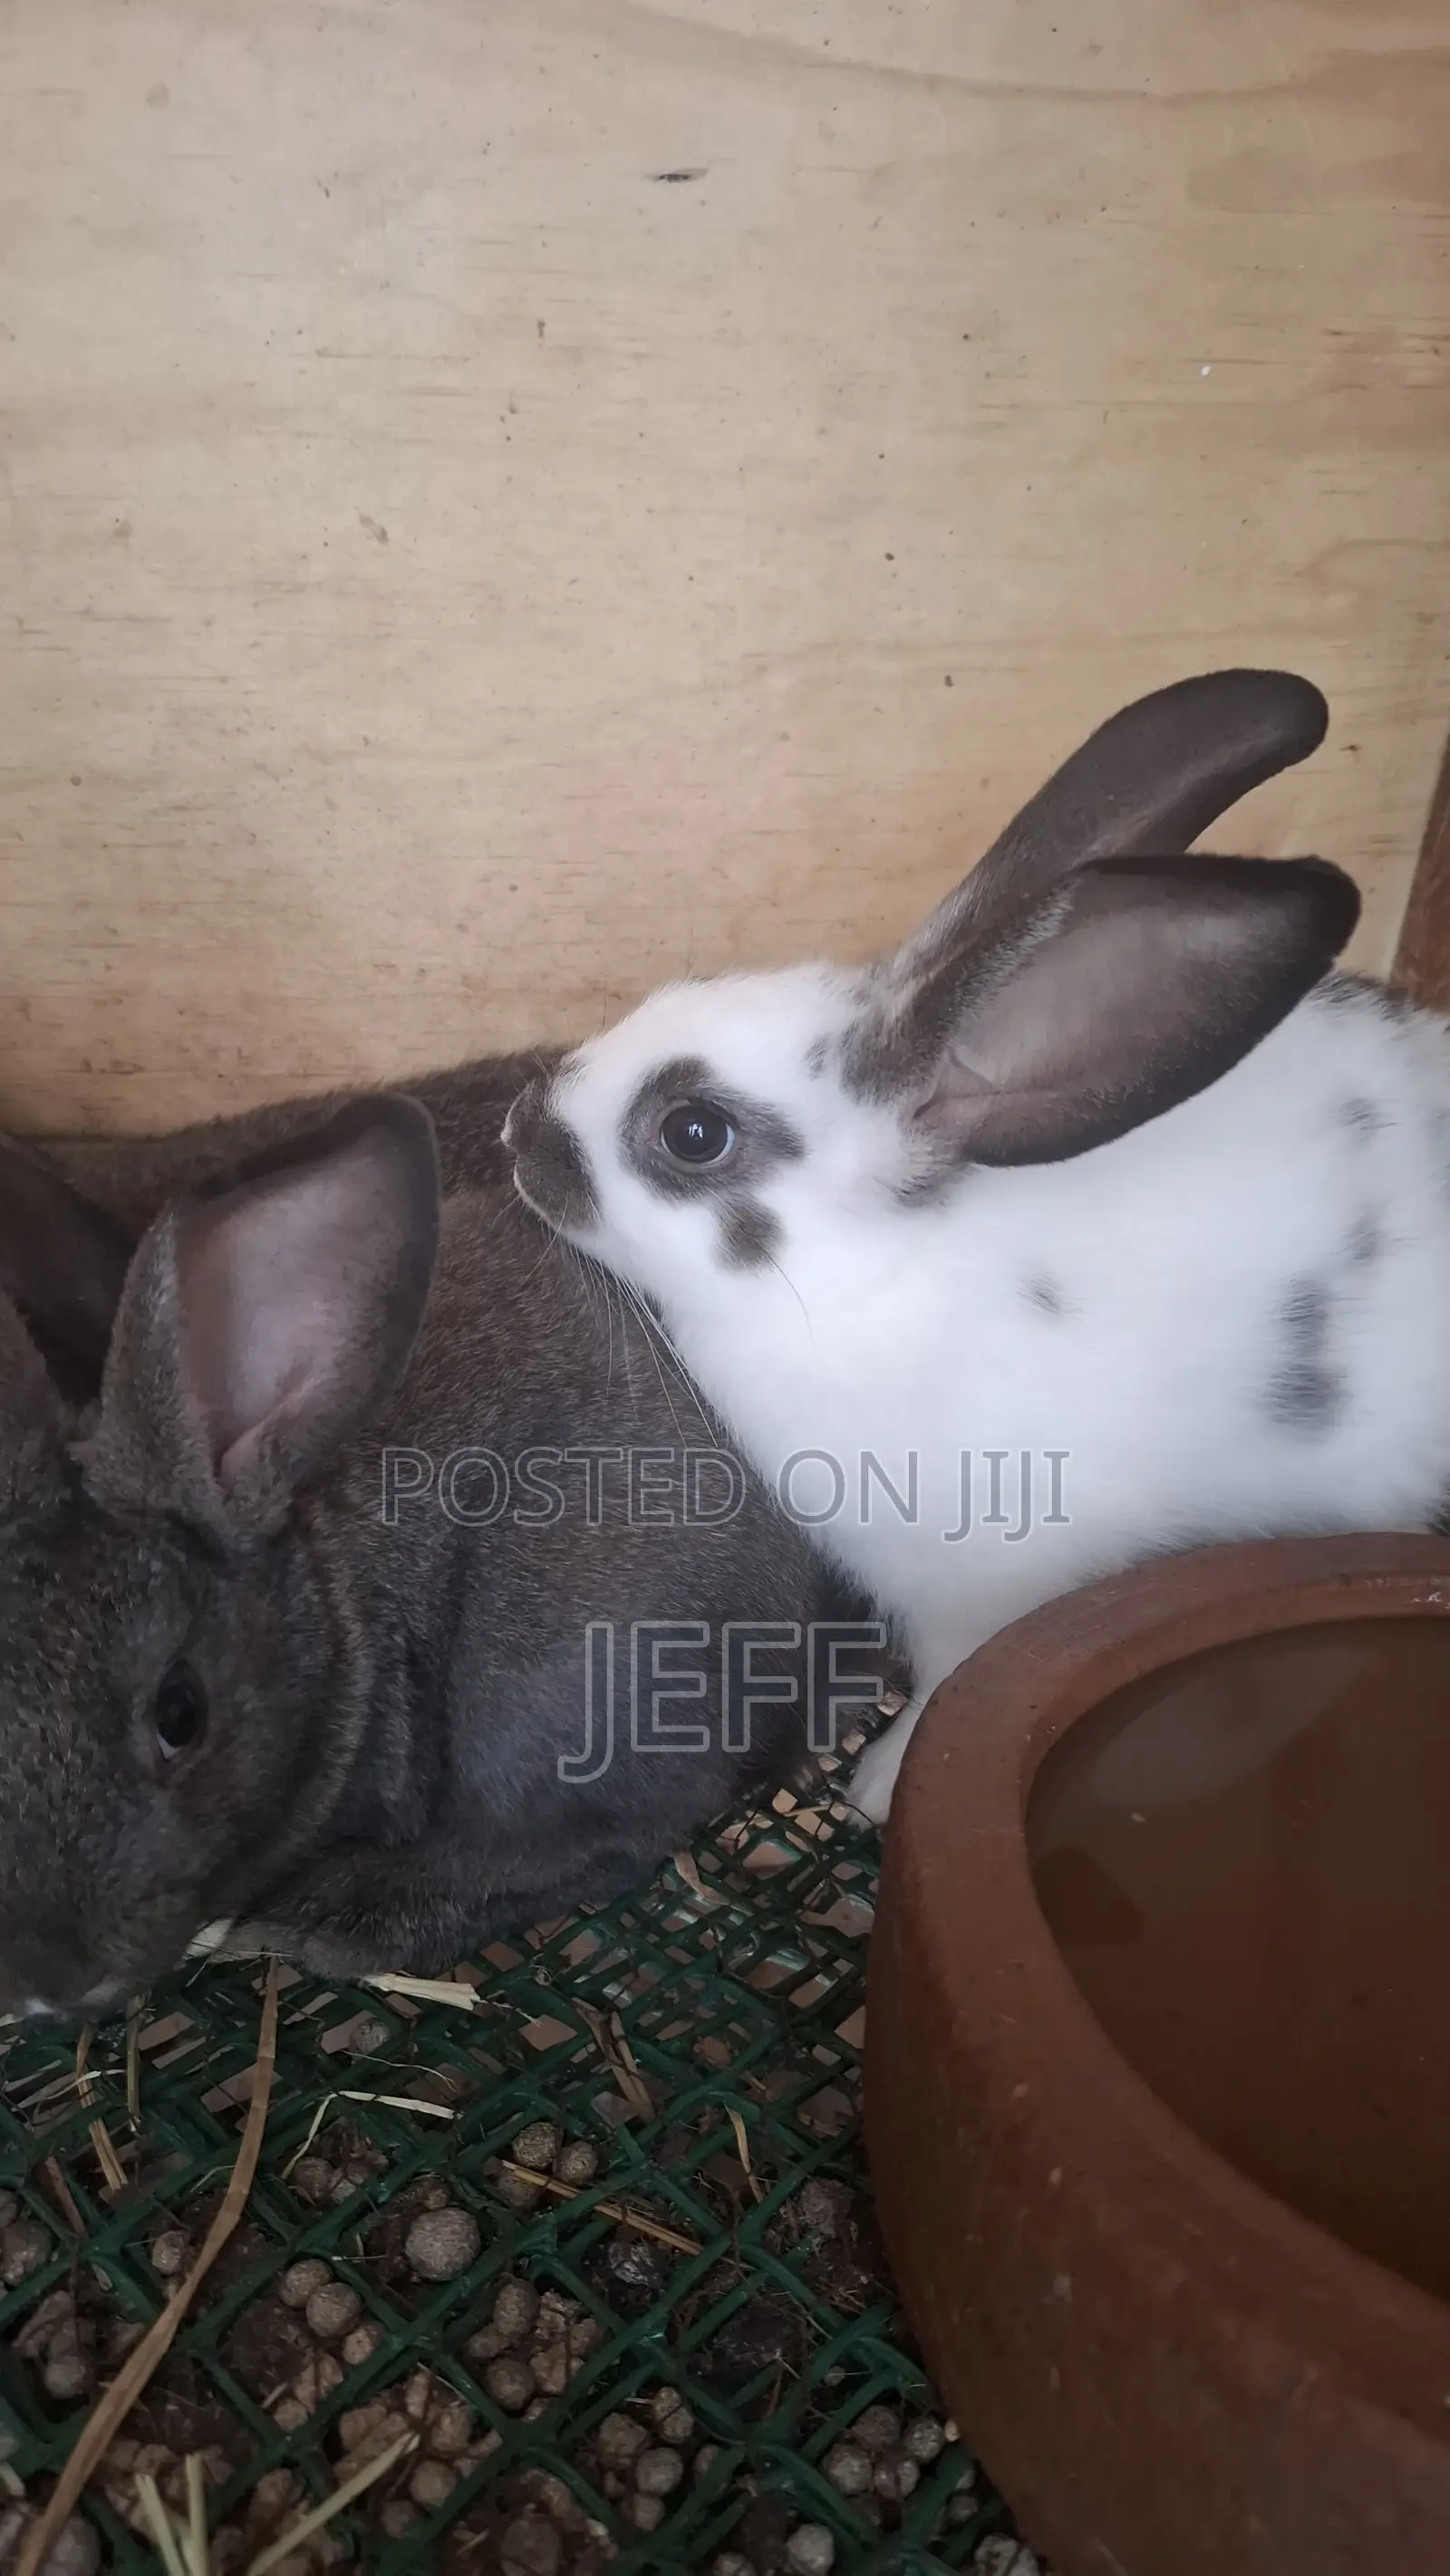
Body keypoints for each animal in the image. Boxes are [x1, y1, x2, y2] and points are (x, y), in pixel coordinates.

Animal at [503, 667, 1450, 1825]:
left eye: (692, 1132)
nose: (515, 1134)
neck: (866, 1283)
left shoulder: (989, 1583)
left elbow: (954, 1681)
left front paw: (881, 1784)